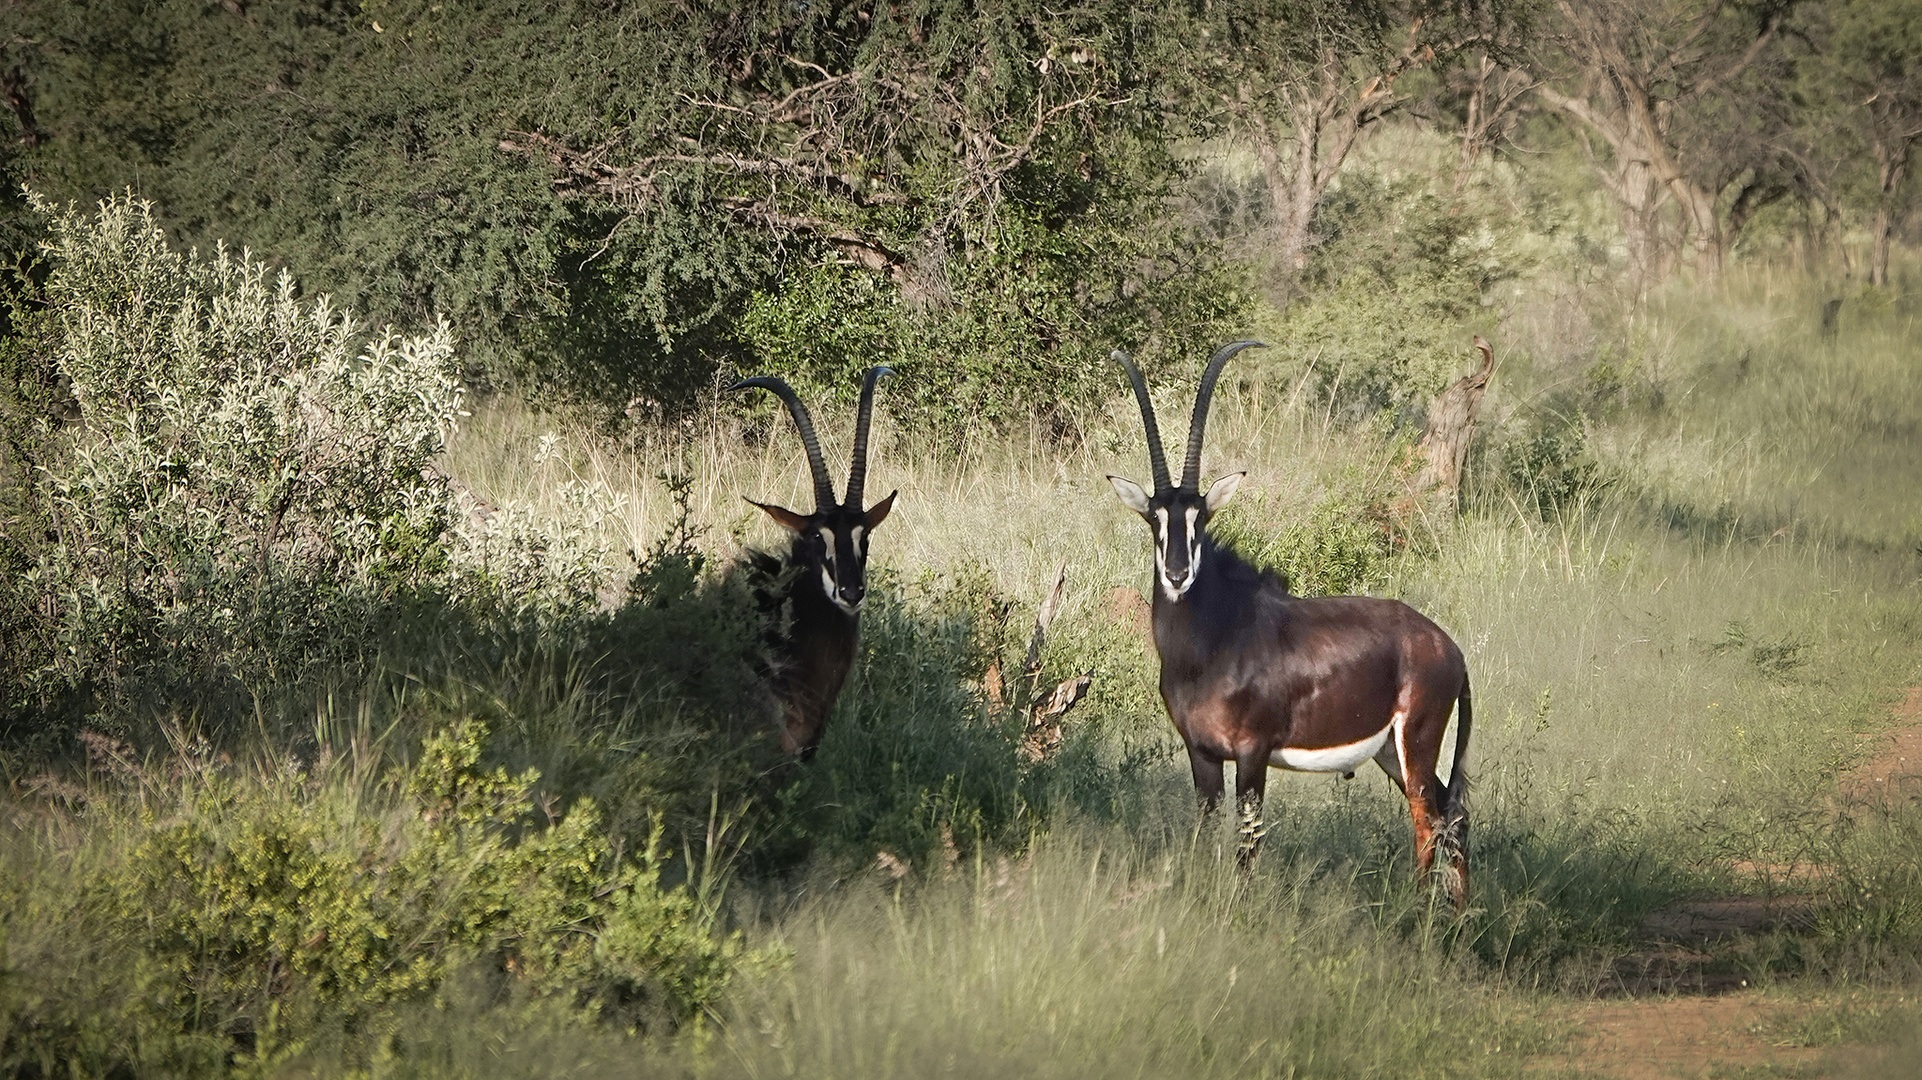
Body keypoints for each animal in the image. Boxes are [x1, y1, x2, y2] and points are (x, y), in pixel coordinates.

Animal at [1114, 342, 1468, 899]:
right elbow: (1205, 835)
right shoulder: (1203, 754)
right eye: (1155, 516)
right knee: (1454, 820)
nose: (1176, 573)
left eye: (1201, 517)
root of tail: (1451, 650)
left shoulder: (1252, 754)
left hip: (1417, 743)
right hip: (1392, 753)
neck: (1212, 642)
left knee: (1429, 823)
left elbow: (1247, 845)